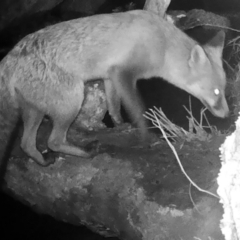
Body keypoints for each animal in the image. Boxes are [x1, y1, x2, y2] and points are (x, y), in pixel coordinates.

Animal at [0, 10, 229, 166]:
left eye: (224, 90)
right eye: (216, 92)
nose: (227, 115)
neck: (162, 44)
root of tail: (10, 56)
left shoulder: (110, 75)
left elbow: (114, 106)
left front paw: (119, 125)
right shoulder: (123, 72)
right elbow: (137, 110)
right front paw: (145, 137)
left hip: (34, 110)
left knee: (27, 144)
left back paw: (43, 161)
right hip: (72, 102)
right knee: (53, 141)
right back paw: (87, 152)